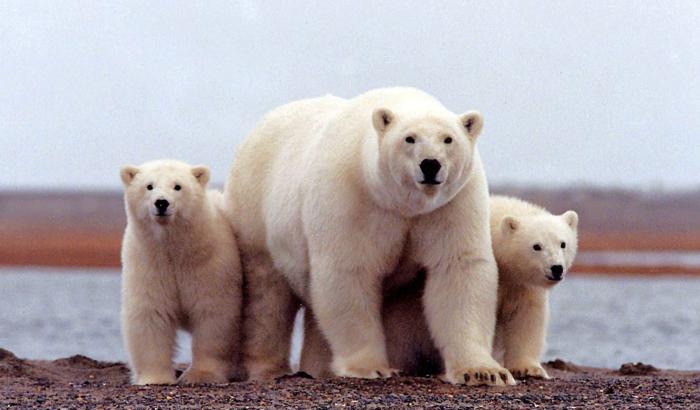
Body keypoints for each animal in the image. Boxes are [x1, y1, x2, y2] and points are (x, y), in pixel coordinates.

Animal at [227, 86, 516, 384]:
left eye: (448, 139)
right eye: (409, 138)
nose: (430, 164)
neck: (402, 204)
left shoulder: (451, 204)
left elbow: (458, 268)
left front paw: (483, 372)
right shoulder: (353, 197)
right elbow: (349, 271)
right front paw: (371, 367)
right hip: (255, 212)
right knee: (267, 296)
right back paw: (269, 368)